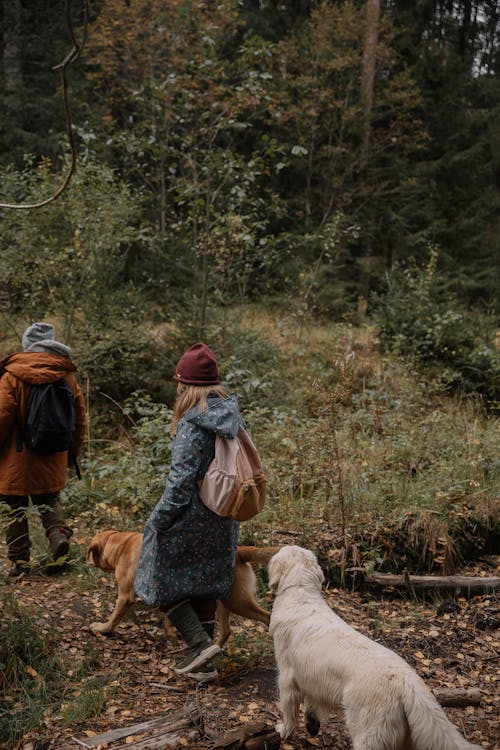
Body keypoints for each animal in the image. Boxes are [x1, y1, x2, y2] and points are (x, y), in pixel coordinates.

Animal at [87, 532, 280, 648]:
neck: (121, 545)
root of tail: (239, 550)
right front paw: (173, 632)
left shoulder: (126, 597)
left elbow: (114, 618)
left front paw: (103, 628)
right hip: (223, 602)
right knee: (226, 631)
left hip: (238, 602)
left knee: (267, 617)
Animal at [270, 548, 484, 750]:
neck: (300, 591)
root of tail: (407, 682)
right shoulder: (311, 677)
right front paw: (312, 723)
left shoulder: (287, 678)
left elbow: (289, 711)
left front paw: (283, 731)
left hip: (369, 734)